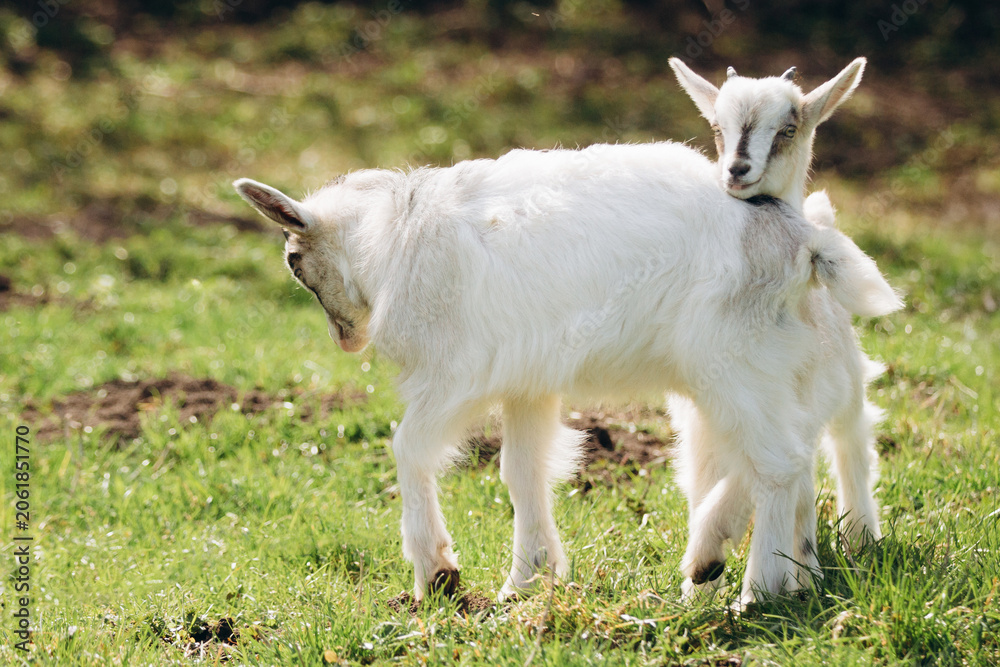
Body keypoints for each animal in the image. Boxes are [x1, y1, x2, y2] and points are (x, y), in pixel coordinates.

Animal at [668, 58, 893, 601]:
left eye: (788, 130)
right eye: (717, 127)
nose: (736, 170)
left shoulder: (787, 408)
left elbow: (771, 467)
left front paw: (712, 557)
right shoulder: (703, 419)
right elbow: (708, 480)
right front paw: (698, 583)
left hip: (844, 392)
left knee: (849, 447)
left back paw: (853, 542)